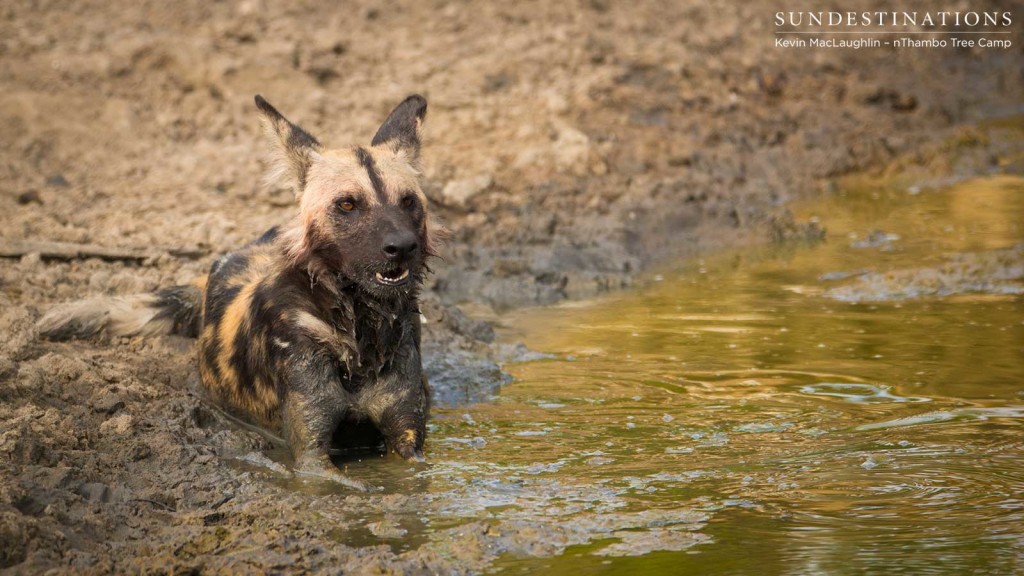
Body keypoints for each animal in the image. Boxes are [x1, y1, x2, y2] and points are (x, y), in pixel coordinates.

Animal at [38, 94, 444, 479]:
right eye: (347, 204)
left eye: (408, 201)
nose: (402, 246)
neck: (358, 333)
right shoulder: (311, 456)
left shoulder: (408, 444)